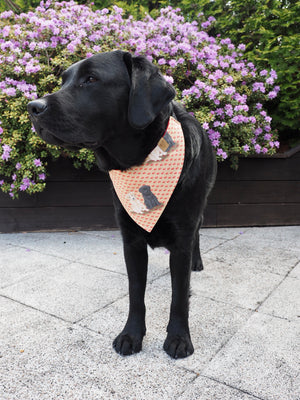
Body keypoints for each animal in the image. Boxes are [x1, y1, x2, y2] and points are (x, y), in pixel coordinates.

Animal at [27, 50, 216, 360]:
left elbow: (179, 295)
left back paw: (196, 262)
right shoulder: (131, 240)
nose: (33, 106)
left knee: (198, 231)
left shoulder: (181, 237)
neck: (140, 163)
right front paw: (131, 334)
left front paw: (179, 338)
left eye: (91, 79)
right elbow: (136, 292)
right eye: (64, 81)